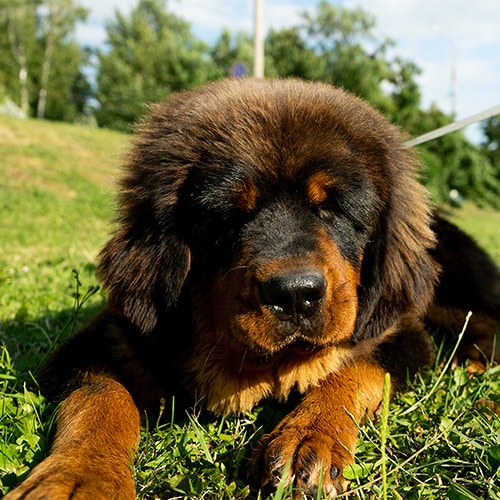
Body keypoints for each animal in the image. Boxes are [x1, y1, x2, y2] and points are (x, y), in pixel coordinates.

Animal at [7, 80, 500, 498]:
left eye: (333, 209)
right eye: (229, 216)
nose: (295, 294)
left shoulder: (398, 333)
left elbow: (355, 369)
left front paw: (311, 435)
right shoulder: (102, 344)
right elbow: (102, 398)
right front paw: (80, 477)